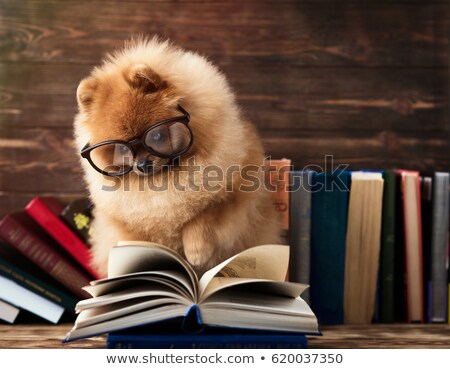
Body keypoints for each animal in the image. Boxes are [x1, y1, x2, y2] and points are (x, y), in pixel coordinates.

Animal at [74, 37, 282, 278]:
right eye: (121, 150)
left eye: (156, 136)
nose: (142, 165)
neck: (167, 179)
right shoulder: (127, 225)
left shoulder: (236, 192)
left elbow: (204, 214)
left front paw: (197, 251)